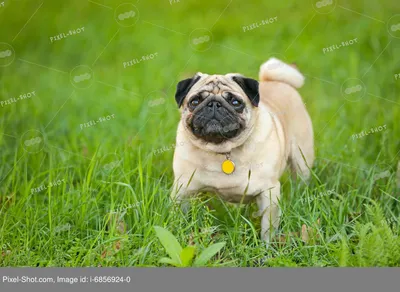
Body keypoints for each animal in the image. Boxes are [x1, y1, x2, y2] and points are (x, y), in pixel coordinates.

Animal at [170, 57, 314, 242]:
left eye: (235, 102)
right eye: (195, 101)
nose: (214, 104)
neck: (223, 150)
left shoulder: (269, 192)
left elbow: (268, 226)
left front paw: (266, 246)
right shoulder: (183, 189)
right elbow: (177, 216)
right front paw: (176, 232)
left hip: (301, 161)